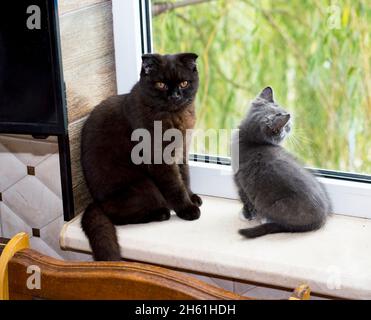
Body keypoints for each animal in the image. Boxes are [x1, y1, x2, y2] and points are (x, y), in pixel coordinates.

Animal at [81, 53, 203, 262]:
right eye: (161, 84)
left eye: (184, 83)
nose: (175, 95)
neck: (174, 116)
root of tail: (96, 201)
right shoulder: (160, 160)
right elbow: (175, 185)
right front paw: (187, 209)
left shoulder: (182, 152)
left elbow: (185, 178)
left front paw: (192, 197)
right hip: (145, 186)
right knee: (116, 215)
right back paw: (161, 213)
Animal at [234, 87, 332, 238]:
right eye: (286, 126)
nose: (290, 126)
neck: (251, 141)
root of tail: (321, 219)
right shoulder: (239, 182)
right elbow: (246, 200)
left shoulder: (241, 182)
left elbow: (247, 201)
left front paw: (246, 215)